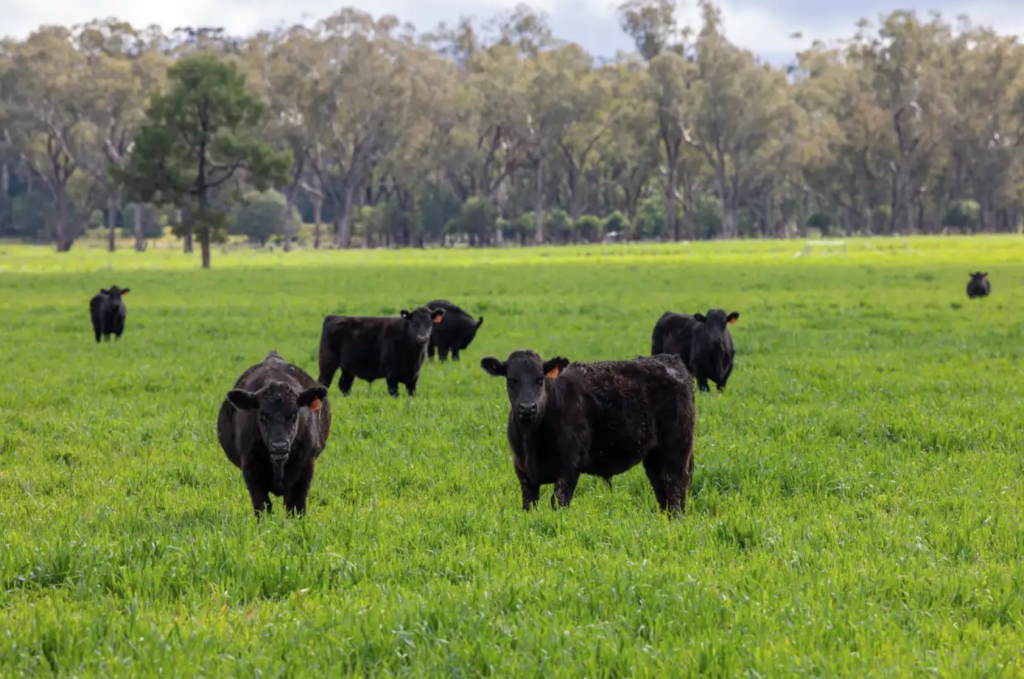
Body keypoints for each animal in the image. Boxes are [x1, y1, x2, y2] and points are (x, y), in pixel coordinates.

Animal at [218, 352, 329, 518]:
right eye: (263, 415)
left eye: (294, 414)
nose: (279, 446)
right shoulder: (251, 470)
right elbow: (263, 506)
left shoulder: (306, 469)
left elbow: (296, 507)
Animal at [317, 307, 446, 399]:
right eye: (414, 322)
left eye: (430, 323)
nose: (422, 338)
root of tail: (333, 317)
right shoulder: (391, 376)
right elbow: (395, 395)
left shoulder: (414, 378)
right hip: (327, 363)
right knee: (323, 383)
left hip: (348, 368)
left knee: (344, 386)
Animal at [479, 350, 696, 516]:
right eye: (512, 380)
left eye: (540, 379)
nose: (527, 407)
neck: (531, 438)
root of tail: (668, 359)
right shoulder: (523, 472)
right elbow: (528, 506)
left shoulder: (569, 467)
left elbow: (558, 502)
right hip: (653, 456)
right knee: (661, 487)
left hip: (677, 449)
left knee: (676, 485)